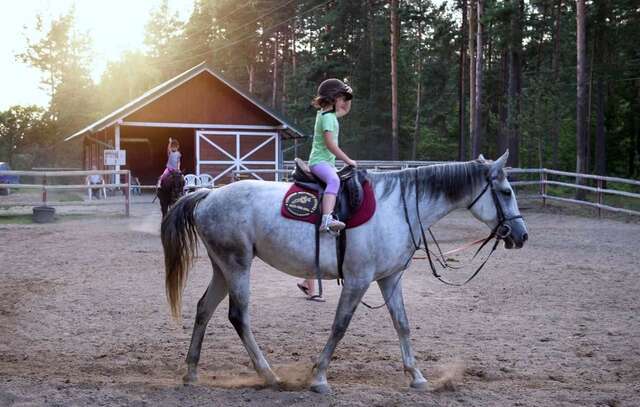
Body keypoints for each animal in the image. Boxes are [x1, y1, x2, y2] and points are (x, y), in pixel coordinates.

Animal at [161, 151, 528, 394]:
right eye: (506, 192)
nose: (521, 235)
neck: (397, 208)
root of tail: (207, 195)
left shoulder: (389, 279)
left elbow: (402, 324)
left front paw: (417, 375)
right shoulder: (358, 280)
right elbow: (340, 326)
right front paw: (319, 377)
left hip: (222, 268)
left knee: (204, 309)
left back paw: (191, 372)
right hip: (237, 265)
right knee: (238, 317)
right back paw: (269, 375)